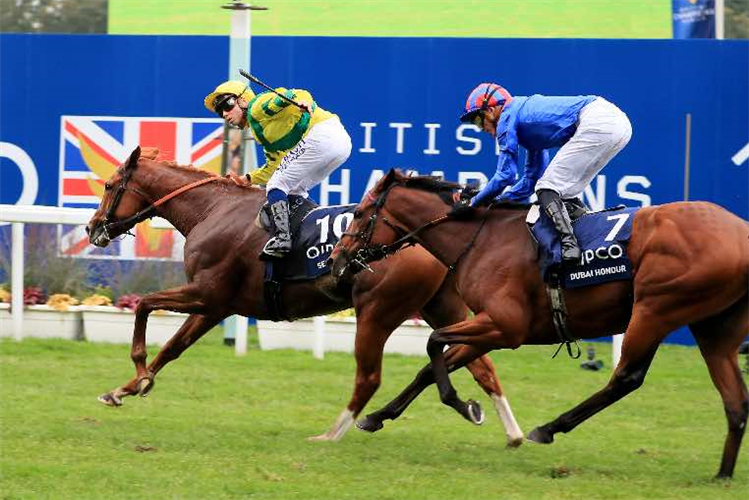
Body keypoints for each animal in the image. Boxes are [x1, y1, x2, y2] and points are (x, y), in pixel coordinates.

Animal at [84, 146, 524, 444]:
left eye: (108, 185)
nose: (92, 228)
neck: (212, 210)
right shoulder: (216, 306)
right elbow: (173, 347)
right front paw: (126, 388)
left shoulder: (206, 294)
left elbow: (144, 305)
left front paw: (138, 374)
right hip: (443, 307)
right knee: (483, 367)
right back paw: (510, 430)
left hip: (378, 311)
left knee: (370, 377)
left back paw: (333, 433)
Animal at [334, 170, 748, 478]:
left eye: (359, 214)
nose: (337, 261)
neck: (481, 239)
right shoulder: (492, 329)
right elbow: (432, 366)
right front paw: (376, 417)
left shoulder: (505, 326)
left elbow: (433, 342)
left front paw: (464, 405)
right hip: (713, 328)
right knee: (736, 402)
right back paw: (723, 475)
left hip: (656, 309)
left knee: (626, 378)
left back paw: (548, 428)